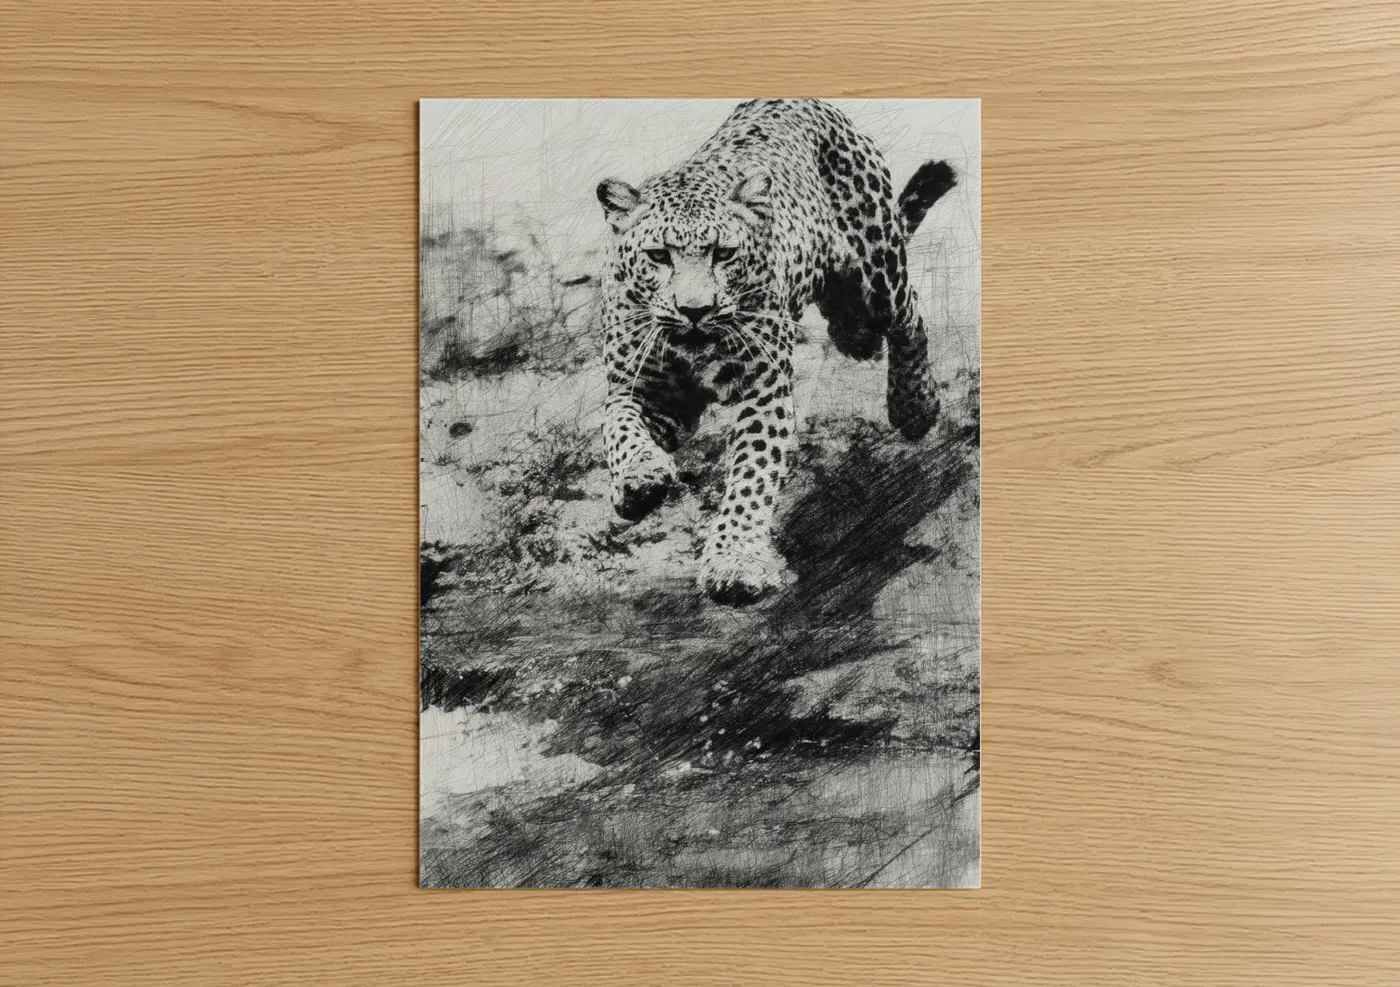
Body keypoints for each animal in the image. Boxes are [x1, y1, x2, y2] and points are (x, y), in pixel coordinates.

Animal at [595, 98, 957, 606]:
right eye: (659, 256)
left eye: (724, 254)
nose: (695, 310)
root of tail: (811, 103)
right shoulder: (639, 389)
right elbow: (620, 430)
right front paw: (641, 479)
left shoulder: (764, 390)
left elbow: (752, 474)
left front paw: (736, 562)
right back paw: (856, 340)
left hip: (876, 269)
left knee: (908, 315)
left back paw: (915, 406)